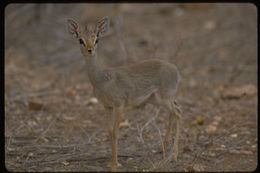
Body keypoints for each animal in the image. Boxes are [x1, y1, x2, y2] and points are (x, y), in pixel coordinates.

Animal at [66, 16, 182, 171]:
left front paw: (115, 165)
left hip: (163, 98)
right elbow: (109, 132)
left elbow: (115, 133)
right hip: (158, 100)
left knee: (178, 113)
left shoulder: (119, 105)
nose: (90, 50)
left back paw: (174, 156)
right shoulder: (107, 106)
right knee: (174, 110)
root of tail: (175, 69)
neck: (102, 80)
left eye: (97, 39)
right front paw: (111, 162)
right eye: (80, 40)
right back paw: (163, 148)